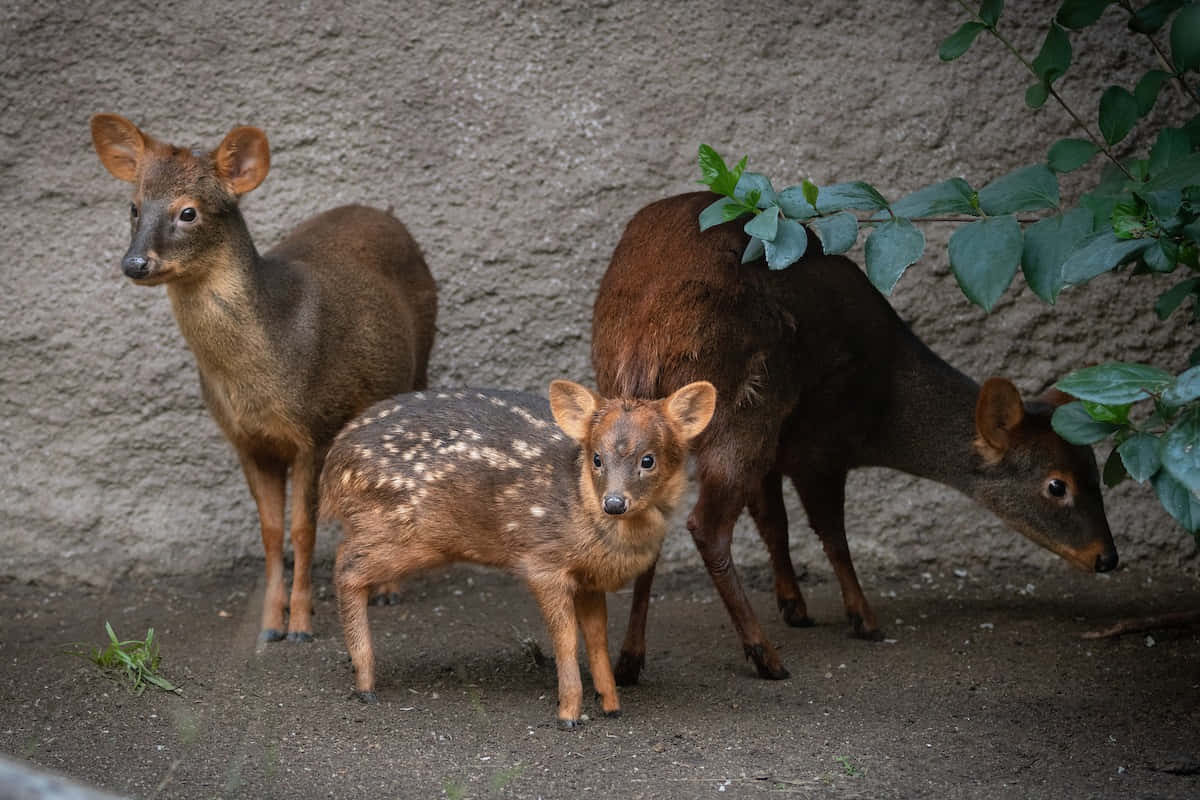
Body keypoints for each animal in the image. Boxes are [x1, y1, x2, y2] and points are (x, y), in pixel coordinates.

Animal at [90, 113, 436, 642]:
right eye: (133, 206)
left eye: (188, 212)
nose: (135, 263)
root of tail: (389, 217)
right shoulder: (247, 441)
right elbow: (271, 533)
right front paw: (271, 626)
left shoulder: (316, 427)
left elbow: (302, 530)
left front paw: (303, 625)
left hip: (417, 365)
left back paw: (388, 589)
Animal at [319, 381, 710, 724]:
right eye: (597, 458)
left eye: (649, 460)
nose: (613, 503)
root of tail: (332, 468)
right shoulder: (543, 561)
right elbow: (565, 639)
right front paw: (568, 714)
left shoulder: (589, 578)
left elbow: (598, 640)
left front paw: (611, 706)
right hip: (402, 530)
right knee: (346, 566)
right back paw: (365, 682)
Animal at [590, 190, 1113, 686]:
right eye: (1056, 485)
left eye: (1095, 470)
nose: (1107, 557)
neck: (886, 407)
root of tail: (645, 335)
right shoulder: (821, 448)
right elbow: (832, 533)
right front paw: (863, 617)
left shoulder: (778, 455)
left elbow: (775, 524)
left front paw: (795, 606)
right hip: (744, 412)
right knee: (707, 526)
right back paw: (765, 656)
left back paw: (631, 660)